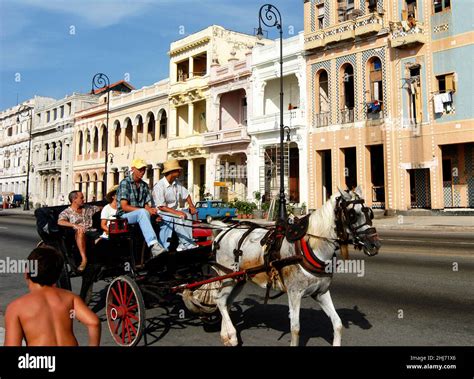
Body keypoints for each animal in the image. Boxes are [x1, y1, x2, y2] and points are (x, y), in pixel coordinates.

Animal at [213, 187, 380, 348]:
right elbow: (295, 329)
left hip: (239, 279)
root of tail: (224, 231)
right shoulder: (294, 293)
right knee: (220, 301)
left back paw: (226, 335)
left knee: (226, 302)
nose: (375, 245)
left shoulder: (321, 292)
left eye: (369, 212)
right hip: (228, 277)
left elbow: (337, 323)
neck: (311, 247)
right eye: (352, 215)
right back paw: (232, 335)